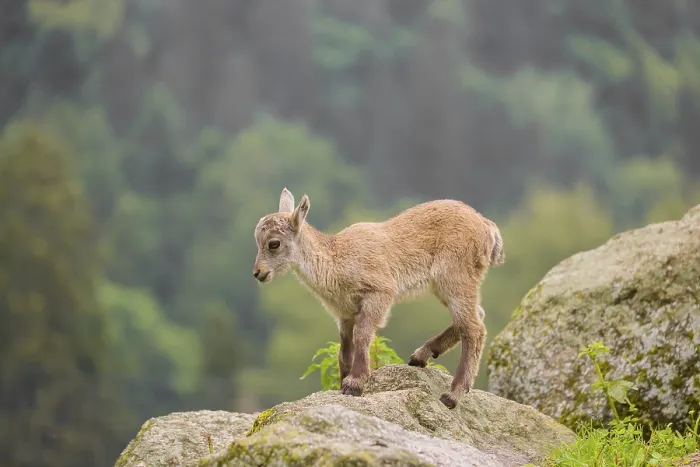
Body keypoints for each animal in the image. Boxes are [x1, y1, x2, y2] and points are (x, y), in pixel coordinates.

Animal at [253, 188, 504, 408]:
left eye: (273, 243)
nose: (258, 273)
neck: (336, 259)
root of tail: (487, 226)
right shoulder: (344, 314)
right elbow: (344, 351)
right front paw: (343, 382)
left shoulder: (380, 293)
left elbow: (363, 335)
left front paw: (355, 384)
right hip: (447, 286)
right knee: (474, 316)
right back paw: (420, 357)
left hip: (455, 276)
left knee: (474, 327)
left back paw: (452, 395)